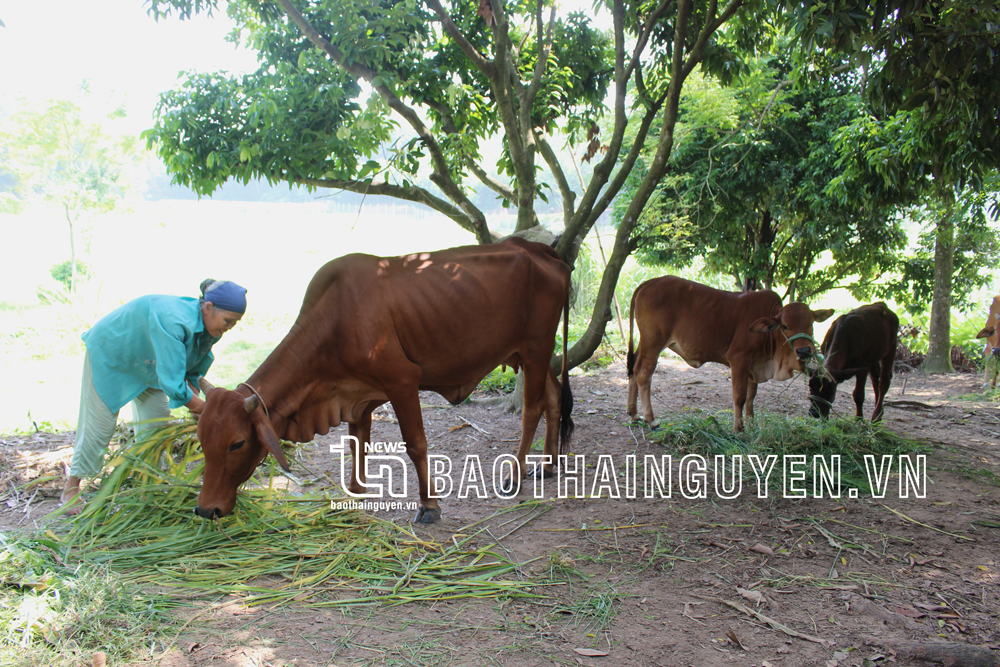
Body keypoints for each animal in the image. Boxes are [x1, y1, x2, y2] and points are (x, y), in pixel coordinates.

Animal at [192, 237, 576, 524]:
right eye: (201, 439)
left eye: (237, 443)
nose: (206, 509)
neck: (335, 318)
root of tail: (538, 249)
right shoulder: (357, 395)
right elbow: (357, 444)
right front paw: (355, 492)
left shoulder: (402, 381)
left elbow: (416, 444)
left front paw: (429, 505)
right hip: (532, 354)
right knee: (554, 398)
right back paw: (548, 466)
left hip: (536, 347)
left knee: (532, 409)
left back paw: (515, 475)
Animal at [624, 276, 836, 434]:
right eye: (785, 325)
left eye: (811, 323)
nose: (804, 351)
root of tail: (649, 283)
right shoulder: (739, 360)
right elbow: (740, 397)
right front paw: (738, 428)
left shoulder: (754, 366)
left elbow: (751, 397)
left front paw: (751, 423)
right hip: (654, 343)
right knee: (643, 374)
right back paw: (651, 420)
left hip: (645, 343)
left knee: (634, 368)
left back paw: (634, 414)